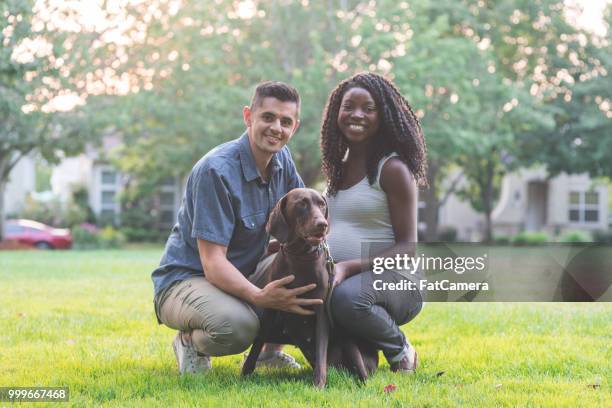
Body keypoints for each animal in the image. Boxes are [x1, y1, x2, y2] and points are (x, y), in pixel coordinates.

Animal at [240, 188, 378, 386]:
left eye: (322, 204)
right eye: (301, 204)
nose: (322, 224)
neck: (300, 257)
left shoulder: (320, 311)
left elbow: (321, 350)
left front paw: (319, 384)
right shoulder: (271, 305)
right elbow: (258, 341)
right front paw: (246, 372)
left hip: (348, 340)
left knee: (360, 371)